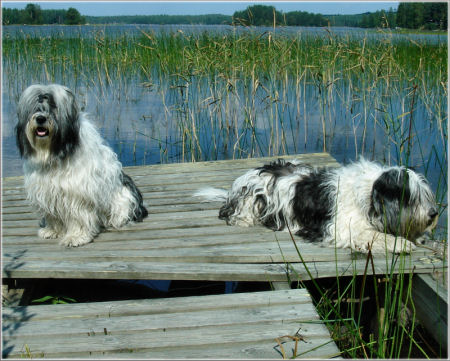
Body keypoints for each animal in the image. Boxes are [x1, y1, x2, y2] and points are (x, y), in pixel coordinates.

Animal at [15, 84, 148, 246]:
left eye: (53, 107)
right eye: (35, 108)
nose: (40, 118)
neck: (55, 153)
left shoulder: (77, 192)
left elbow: (77, 216)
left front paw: (76, 236)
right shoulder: (47, 190)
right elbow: (53, 215)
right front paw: (53, 230)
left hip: (124, 199)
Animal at [195, 158, 438, 253]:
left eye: (425, 196)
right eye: (412, 198)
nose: (434, 213)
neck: (368, 195)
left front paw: (416, 236)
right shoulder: (341, 229)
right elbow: (371, 235)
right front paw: (400, 243)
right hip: (250, 201)